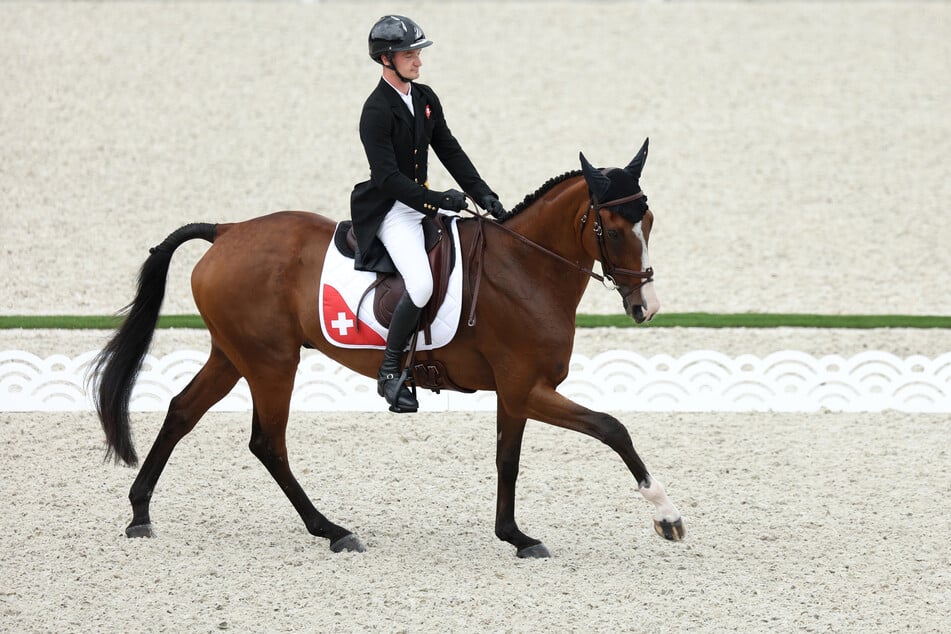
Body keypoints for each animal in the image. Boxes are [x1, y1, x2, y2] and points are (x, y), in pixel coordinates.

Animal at [93, 137, 684, 552]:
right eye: (612, 229)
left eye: (650, 221)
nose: (646, 307)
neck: (526, 268)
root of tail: (228, 230)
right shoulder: (525, 388)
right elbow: (612, 428)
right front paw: (666, 515)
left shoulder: (515, 394)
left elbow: (507, 460)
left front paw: (514, 536)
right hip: (271, 362)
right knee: (267, 442)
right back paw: (332, 530)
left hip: (232, 355)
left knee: (181, 411)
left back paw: (140, 514)